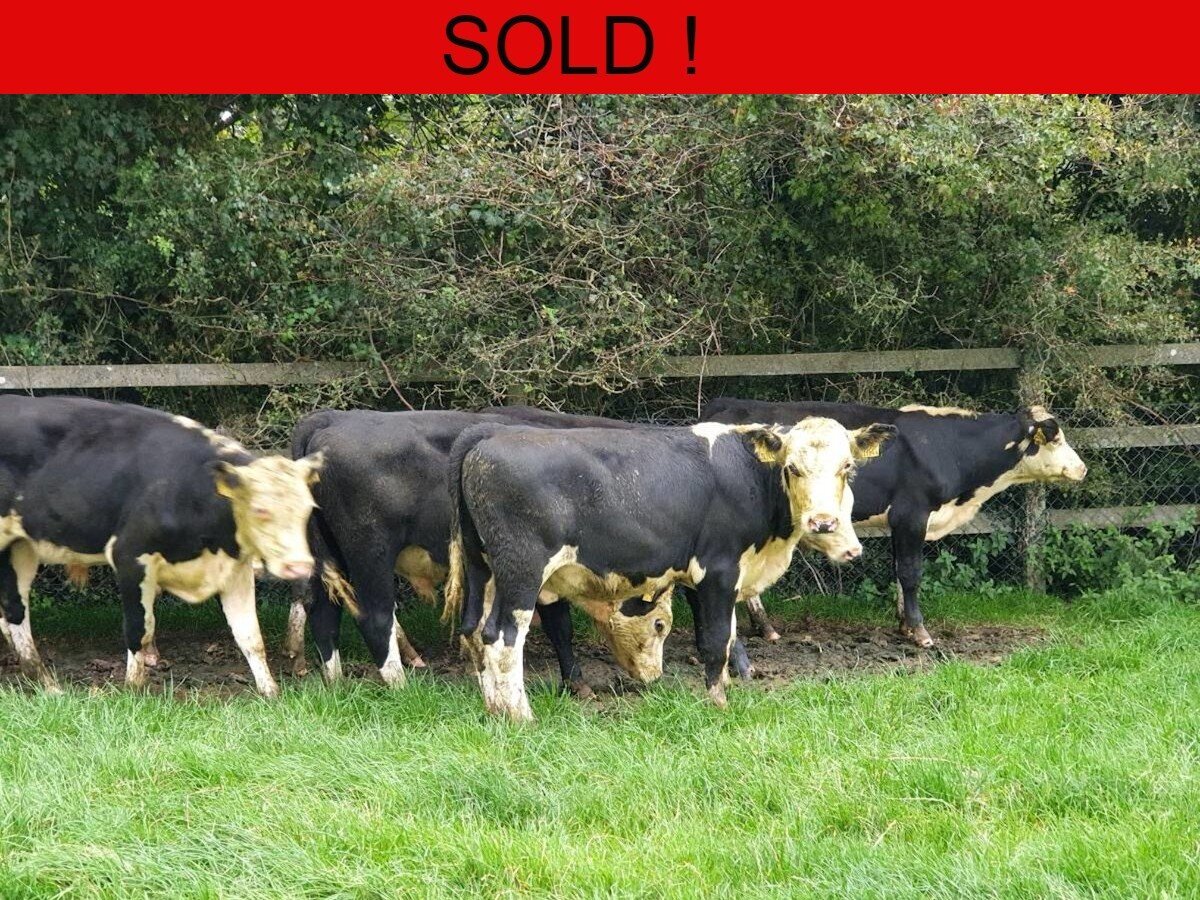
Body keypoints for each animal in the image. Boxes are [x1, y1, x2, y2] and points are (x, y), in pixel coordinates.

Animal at [0, 396, 323, 696]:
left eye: (308, 508)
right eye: (260, 510)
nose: (300, 565)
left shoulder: (234, 570)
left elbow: (250, 636)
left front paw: (271, 693)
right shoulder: (130, 556)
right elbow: (139, 630)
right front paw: (134, 688)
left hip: (22, 549)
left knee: (14, 612)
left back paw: (45, 684)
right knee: (15, 612)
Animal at [285, 406, 659, 692]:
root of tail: (332, 420)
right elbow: (560, 626)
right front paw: (576, 683)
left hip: (328, 555)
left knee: (323, 609)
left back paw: (335, 680)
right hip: (369, 551)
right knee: (375, 616)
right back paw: (401, 686)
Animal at [444, 418, 896, 721]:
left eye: (846, 468)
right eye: (792, 468)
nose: (824, 522)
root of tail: (489, 434)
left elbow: (728, 635)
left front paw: (725, 685)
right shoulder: (718, 570)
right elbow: (714, 640)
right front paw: (718, 702)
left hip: (482, 568)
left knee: (475, 630)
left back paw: (495, 708)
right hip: (521, 572)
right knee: (502, 637)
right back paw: (521, 716)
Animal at [701, 398, 1088, 648]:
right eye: (1055, 438)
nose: (1082, 468)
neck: (945, 445)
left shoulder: (899, 522)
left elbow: (899, 574)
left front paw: (904, 625)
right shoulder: (912, 513)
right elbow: (911, 573)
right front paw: (921, 633)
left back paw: (765, 627)